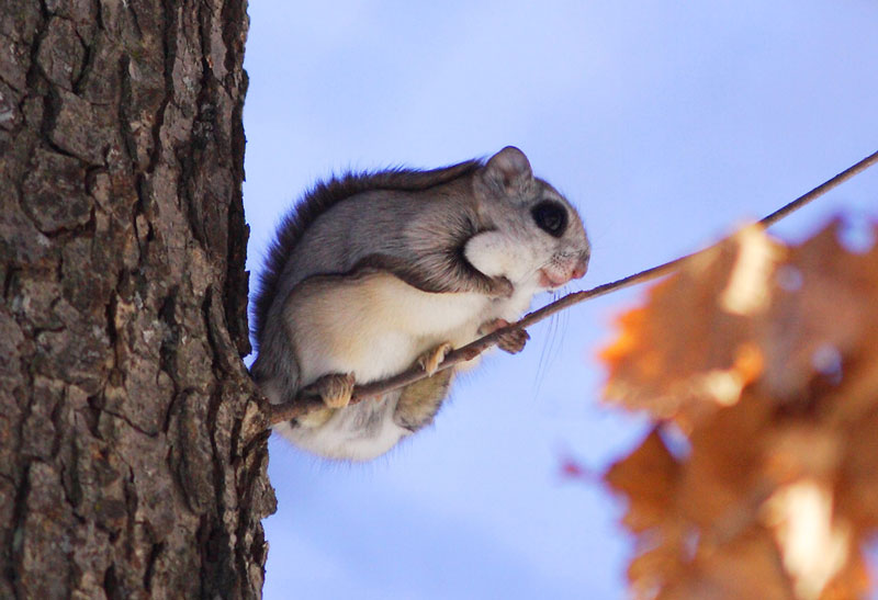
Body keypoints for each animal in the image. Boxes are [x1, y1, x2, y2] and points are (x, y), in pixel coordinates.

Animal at [251, 148, 592, 462]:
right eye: (551, 218)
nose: (582, 270)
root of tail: (266, 373)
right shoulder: (419, 231)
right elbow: (438, 269)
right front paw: (495, 285)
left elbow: (486, 326)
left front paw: (509, 335)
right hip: (307, 323)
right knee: (302, 412)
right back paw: (329, 388)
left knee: (407, 414)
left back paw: (435, 362)